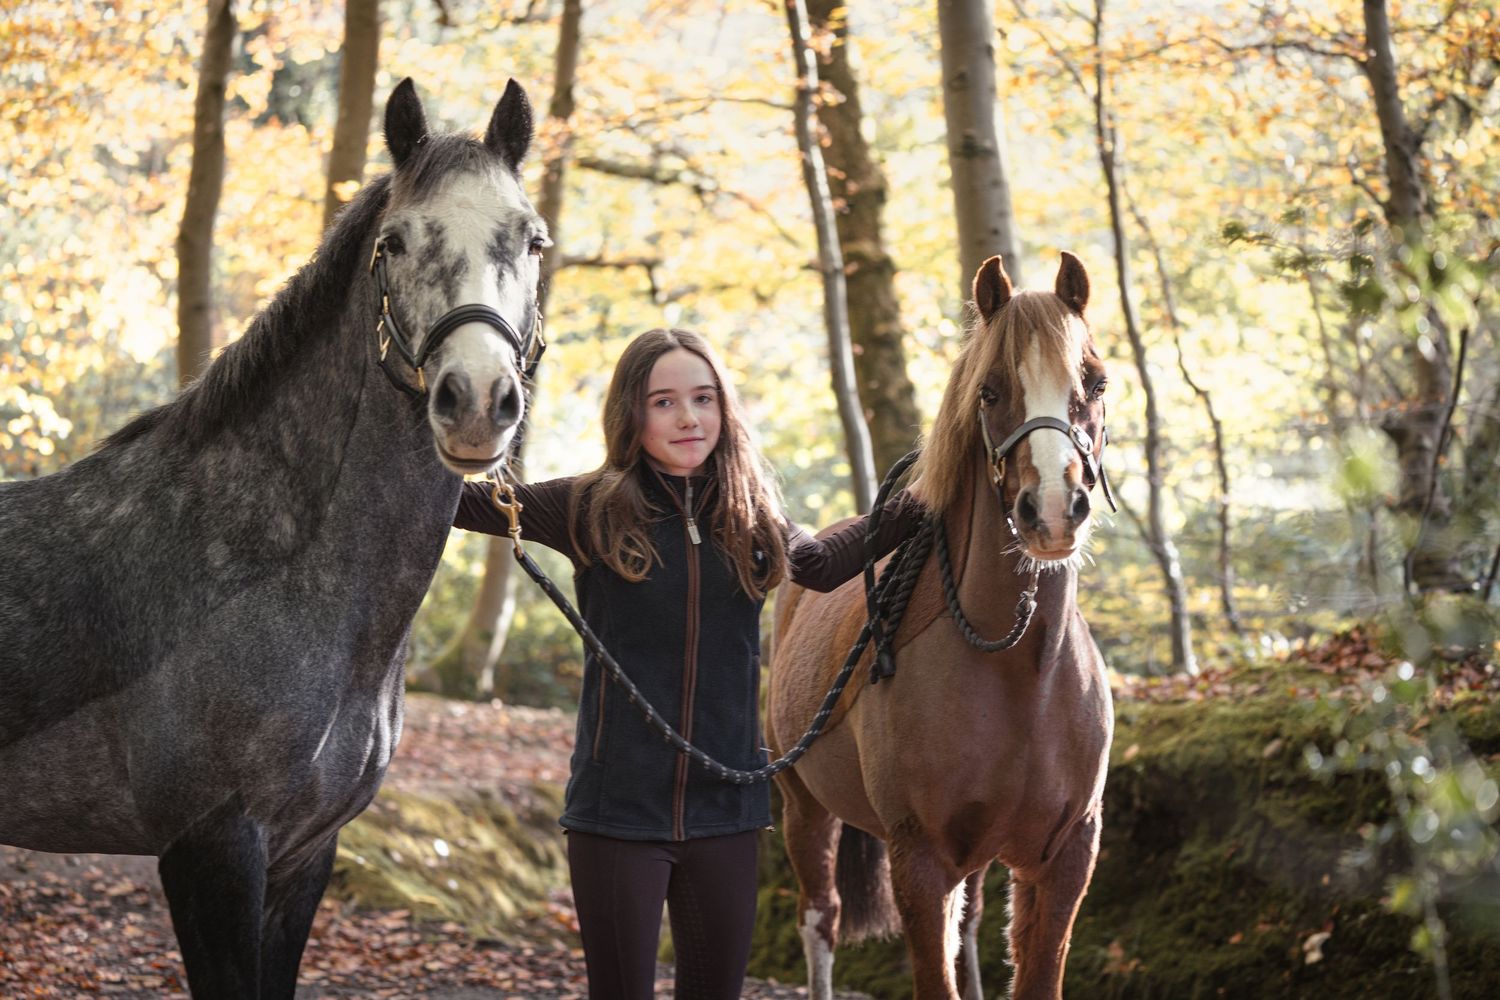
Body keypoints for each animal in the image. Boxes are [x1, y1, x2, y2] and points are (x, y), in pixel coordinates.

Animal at [768, 253, 1114, 1000]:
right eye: (990, 391)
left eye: (1096, 382)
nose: (1052, 510)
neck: (1021, 672)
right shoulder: (920, 862)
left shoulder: (1064, 858)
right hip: (803, 809)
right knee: (820, 919)